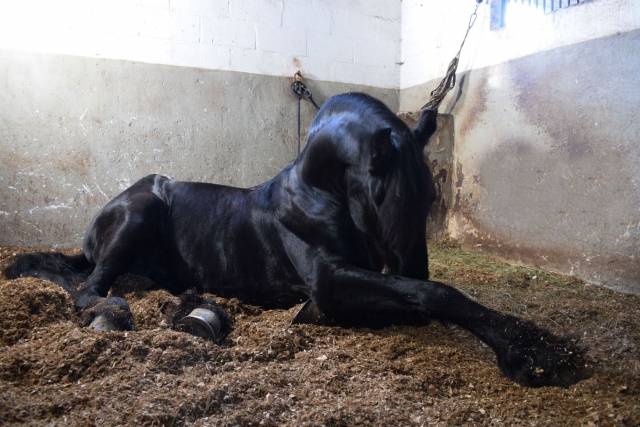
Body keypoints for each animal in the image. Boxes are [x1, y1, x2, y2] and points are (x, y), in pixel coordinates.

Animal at [5, 92, 591, 387]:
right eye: (388, 197)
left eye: (431, 199)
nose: (413, 262)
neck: (318, 194)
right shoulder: (331, 282)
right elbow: (434, 294)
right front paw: (533, 352)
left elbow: (424, 298)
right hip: (141, 209)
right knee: (88, 288)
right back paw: (115, 312)